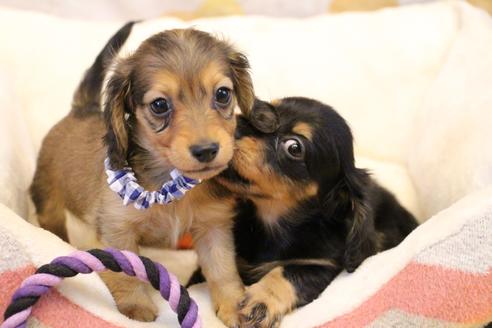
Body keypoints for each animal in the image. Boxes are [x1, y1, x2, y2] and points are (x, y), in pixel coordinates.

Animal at [29, 21, 266, 324]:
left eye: (223, 94)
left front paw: (234, 307)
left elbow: (222, 270)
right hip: (48, 199)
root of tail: (82, 109)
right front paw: (135, 306)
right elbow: (127, 272)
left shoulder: (213, 227)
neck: (171, 181)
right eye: (160, 105)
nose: (207, 150)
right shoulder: (118, 231)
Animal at [190, 96, 418, 326]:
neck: (271, 222)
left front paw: (261, 302)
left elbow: (286, 272)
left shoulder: (322, 266)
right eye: (260, 111)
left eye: (294, 147)